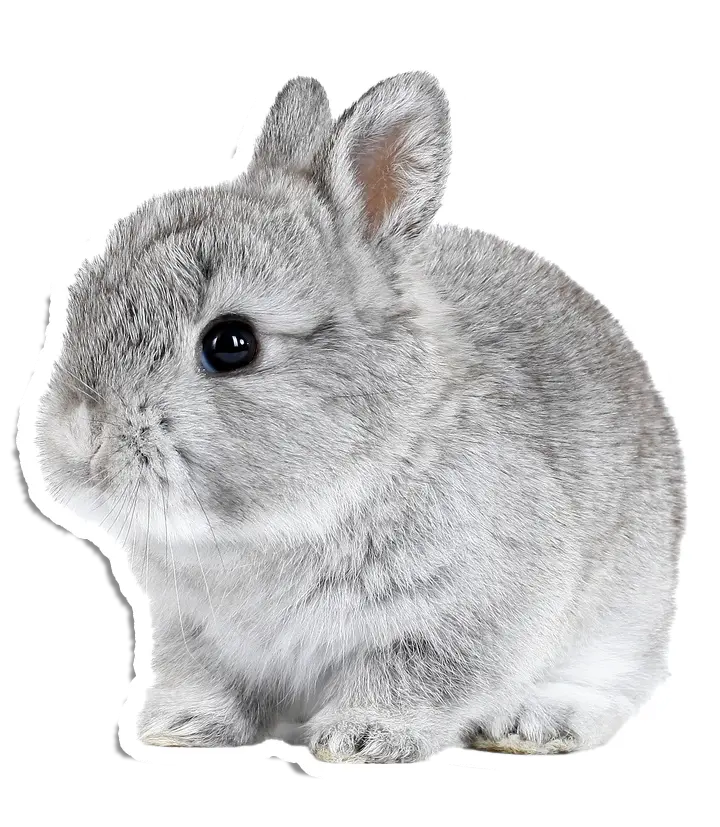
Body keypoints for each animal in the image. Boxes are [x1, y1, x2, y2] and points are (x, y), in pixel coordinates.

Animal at [34, 71, 685, 763]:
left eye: (231, 344)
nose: (80, 435)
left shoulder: (457, 618)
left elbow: (413, 674)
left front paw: (362, 738)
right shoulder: (195, 631)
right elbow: (210, 680)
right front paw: (182, 728)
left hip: (625, 618)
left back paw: (532, 725)